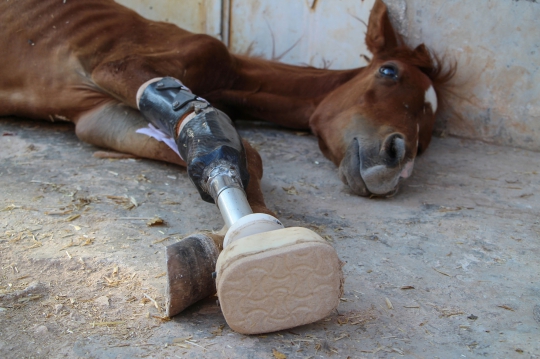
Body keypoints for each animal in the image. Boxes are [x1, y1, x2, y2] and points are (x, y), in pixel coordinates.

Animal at [0, 0, 454, 217]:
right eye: (389, 71)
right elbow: (245, 152)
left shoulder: (99, 118)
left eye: (427, 141)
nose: (398, 159)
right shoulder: (117, 67)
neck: (231, 76)